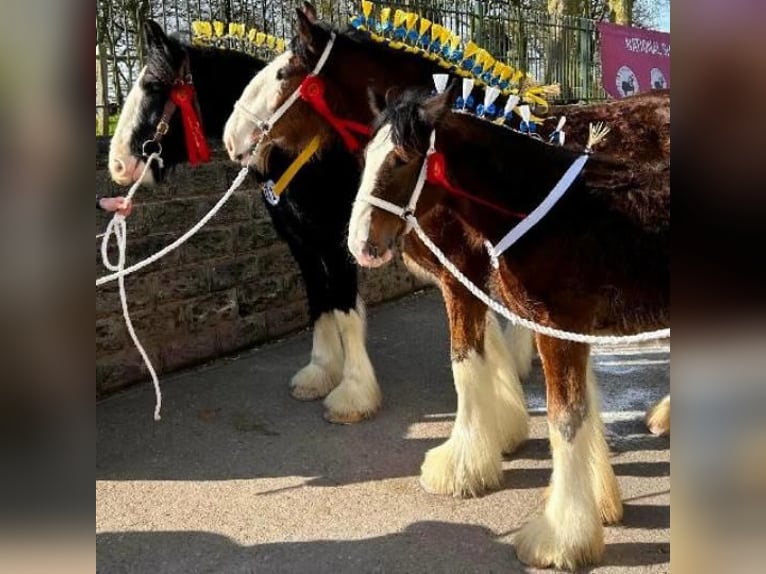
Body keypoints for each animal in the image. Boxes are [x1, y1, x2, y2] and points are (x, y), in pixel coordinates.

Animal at [107, 20, 381, 424]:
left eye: (155, 87)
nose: (118, 164)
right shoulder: (300, 241)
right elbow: (320, 299)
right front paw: (319, 373)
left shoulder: (336, 243)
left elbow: (344, 307)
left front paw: (354, 395)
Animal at [348, 84, 669, 569]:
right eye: (366, 154)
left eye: (402, 157)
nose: (361, 244)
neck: (543, 213)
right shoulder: (565, 331)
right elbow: (582, 408)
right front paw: (599, 504)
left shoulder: (558, 328)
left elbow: (564, 419)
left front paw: (561, 539)